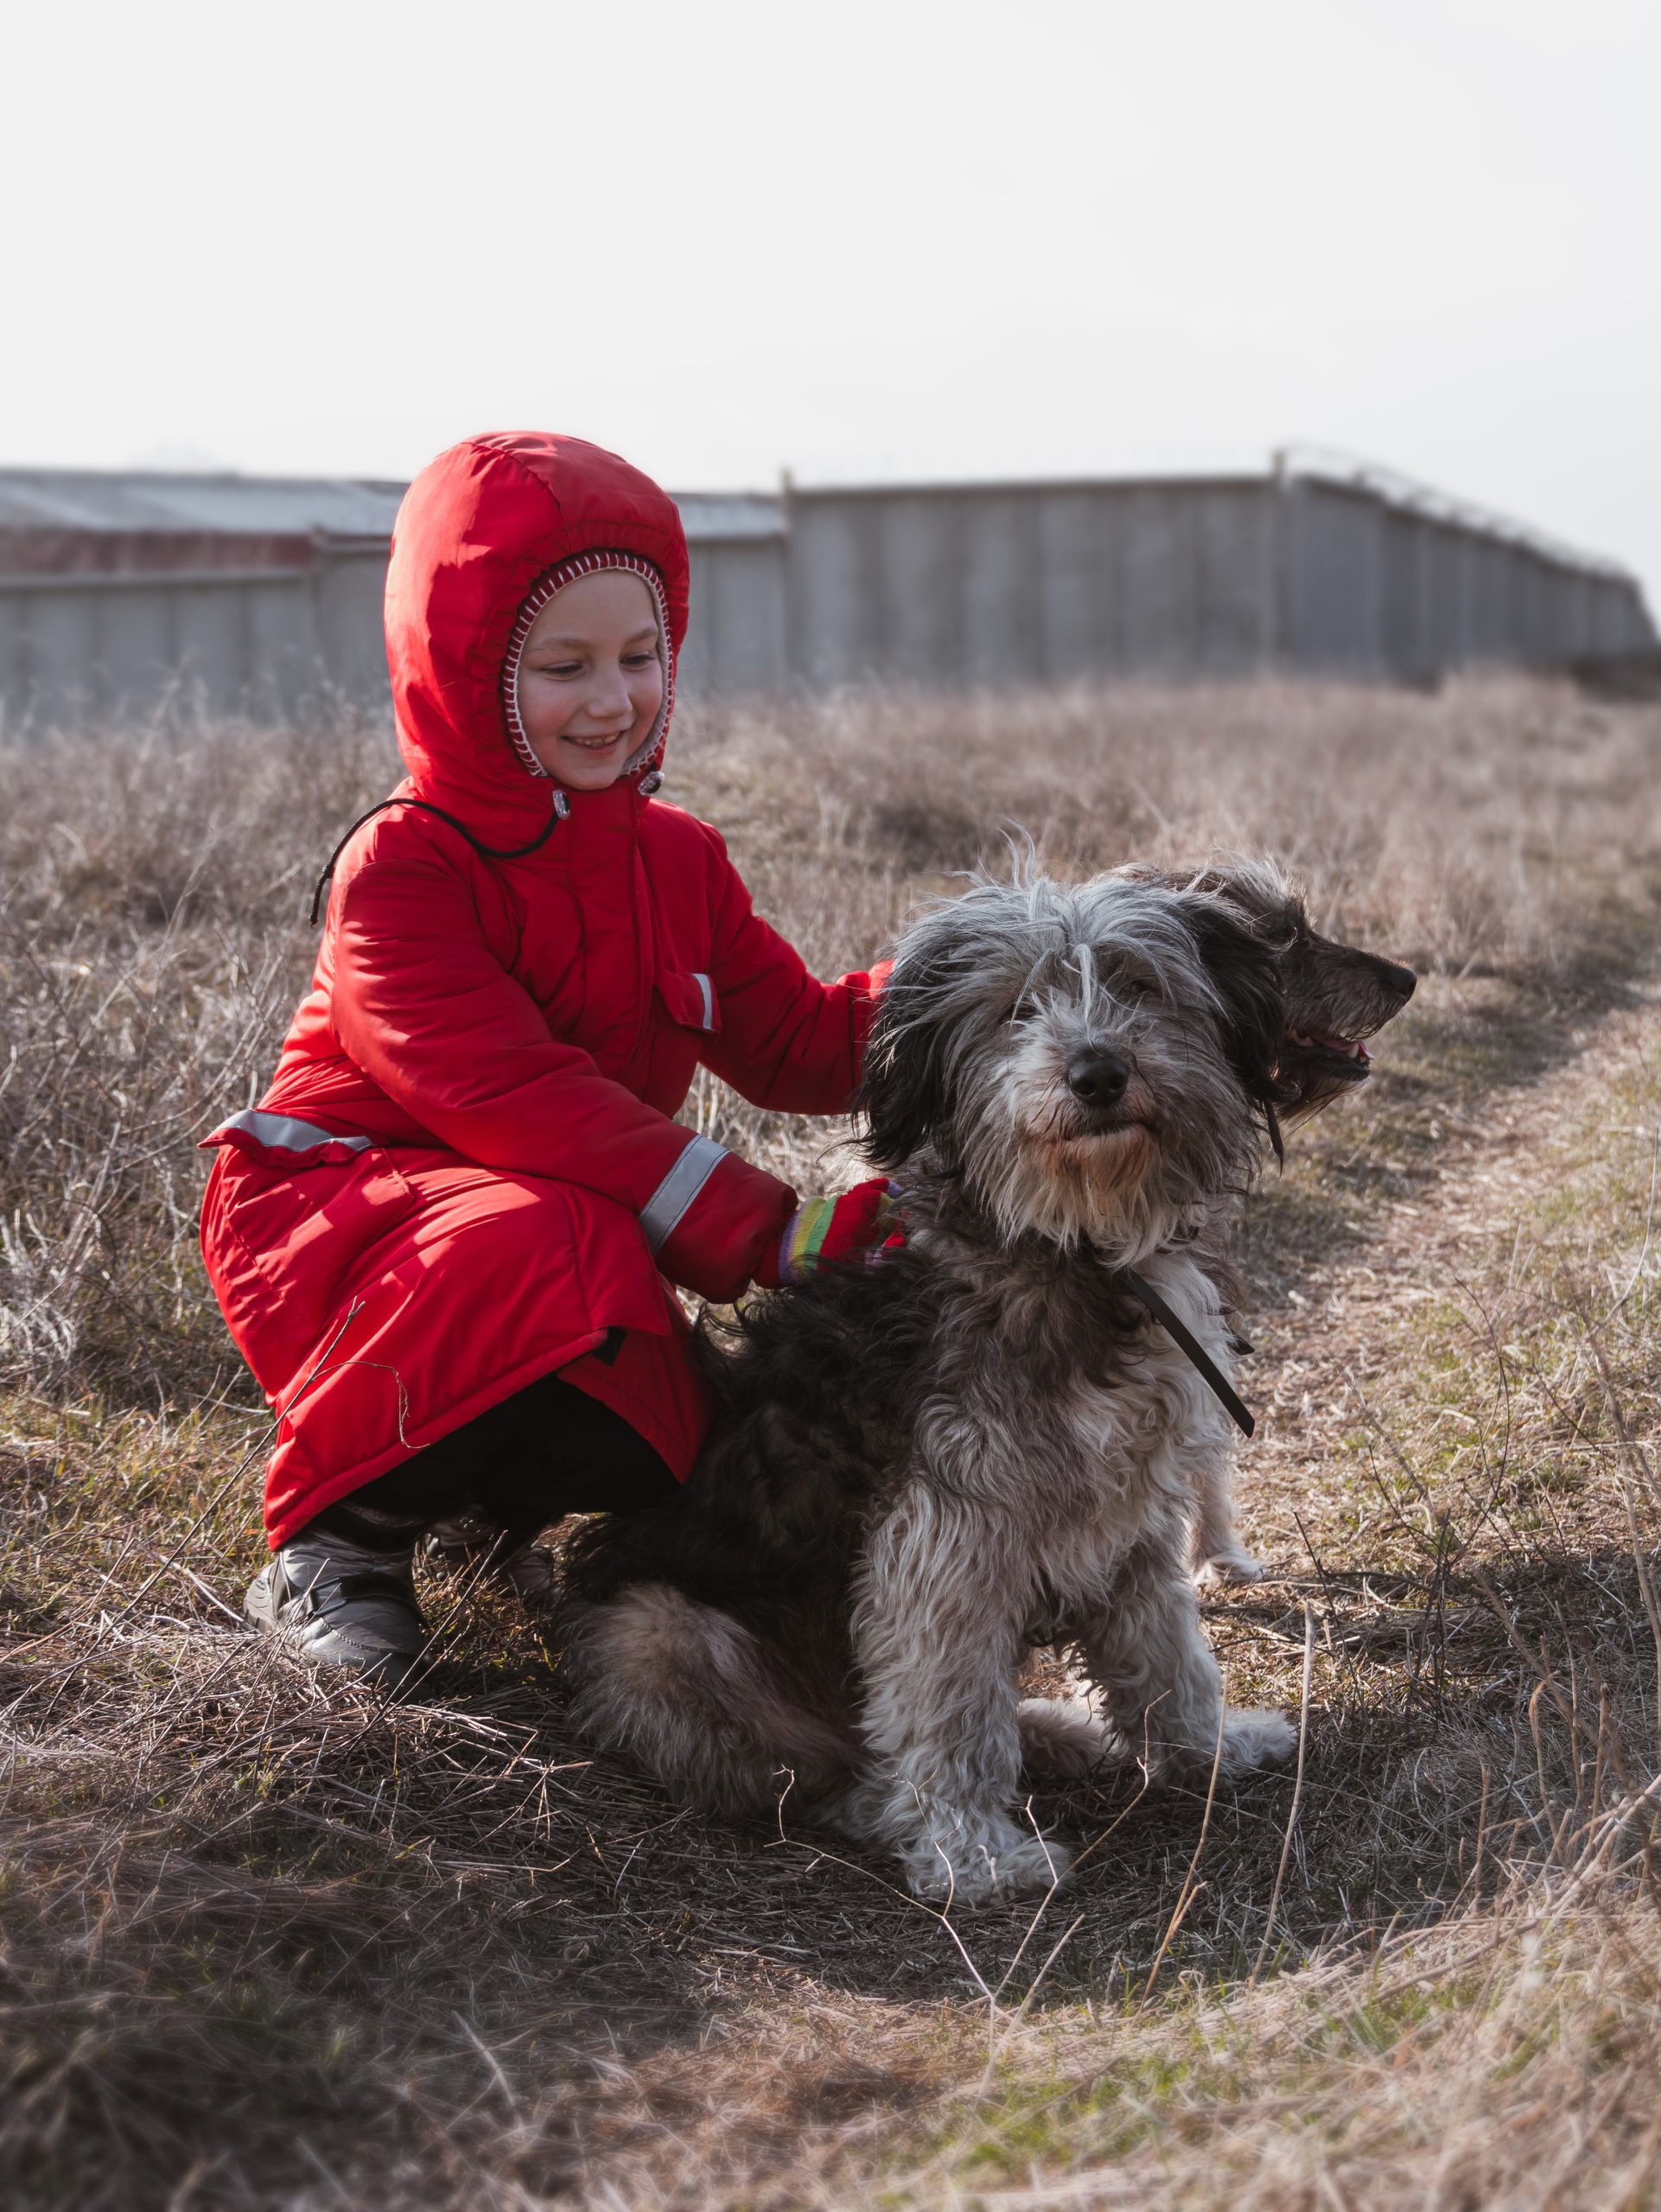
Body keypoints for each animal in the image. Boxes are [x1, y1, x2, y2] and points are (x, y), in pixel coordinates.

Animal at [562, 862, 1415, 1902]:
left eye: (1137, 984)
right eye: (1015, 1009)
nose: (1096, 1074)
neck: (1071, 1248)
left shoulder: (1132, 1507)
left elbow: (1167, 1650)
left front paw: (1209, 1749)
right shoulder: (943, 1537)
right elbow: (947, 1709)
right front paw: (971, 1853)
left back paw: (1055, 1732)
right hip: (659, 1632)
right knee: (815, 1771)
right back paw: (894, 1801)